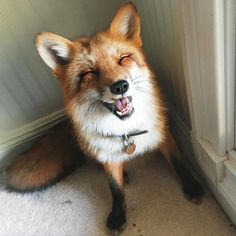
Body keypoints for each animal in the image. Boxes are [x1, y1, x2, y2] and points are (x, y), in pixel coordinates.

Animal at [6, 1, 204, 230]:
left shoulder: (162, 134)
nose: (120, 86)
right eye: (89, 73)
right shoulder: (107, 155)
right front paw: (118, 214)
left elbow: (178, 161)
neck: (128, 132)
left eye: (123, 58)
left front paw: (191, 185)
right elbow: (114, 188)